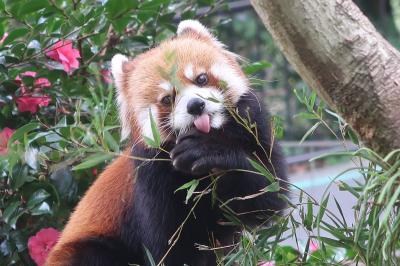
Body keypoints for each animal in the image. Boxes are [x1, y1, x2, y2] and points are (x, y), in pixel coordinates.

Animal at [45, 19, 286, 264]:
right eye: (167, 99)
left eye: (201, 79)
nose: (195, 105)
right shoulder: (152, 176)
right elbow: (171, 245)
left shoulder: (254, 129)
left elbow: (267, 195)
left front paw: (209, 152)